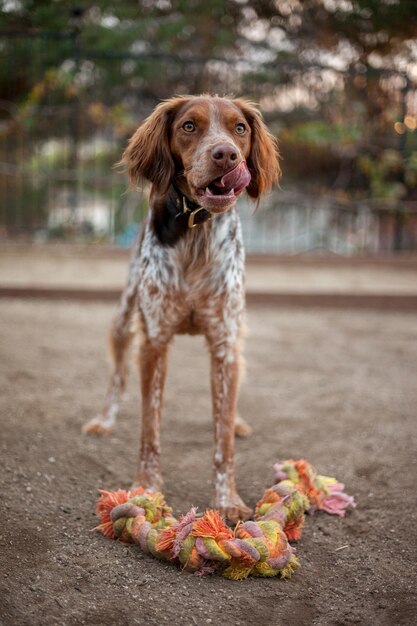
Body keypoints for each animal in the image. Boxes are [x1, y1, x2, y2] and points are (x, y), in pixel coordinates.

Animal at [82, 95, 280, 520]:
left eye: (240, 128)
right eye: (189, 126)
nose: (226, 155)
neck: (196, 232)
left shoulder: (224, 342)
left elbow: (223, 441)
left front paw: (227, 501)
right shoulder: (154, 341)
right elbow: (149, 429)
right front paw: (146, 489)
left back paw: (238, 420)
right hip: (124, 318)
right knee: (117, 375)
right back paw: (104, 420)